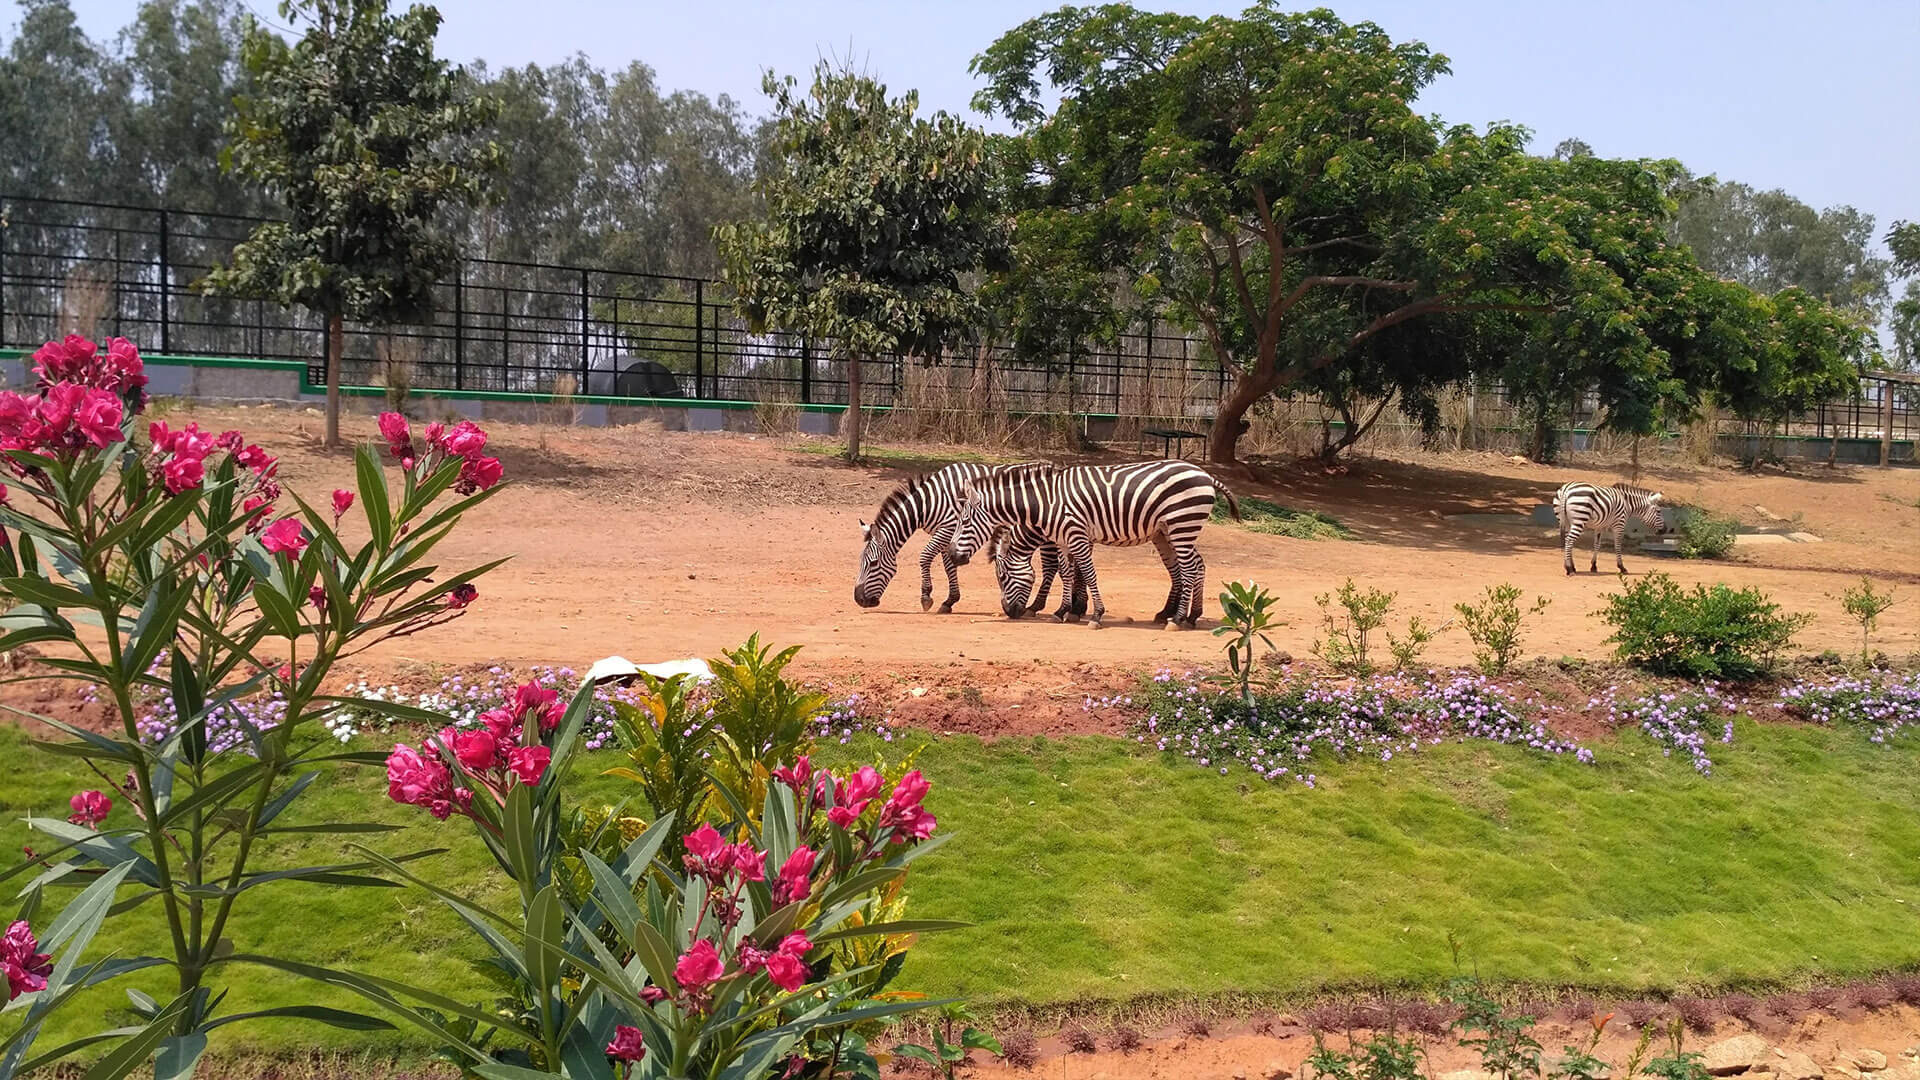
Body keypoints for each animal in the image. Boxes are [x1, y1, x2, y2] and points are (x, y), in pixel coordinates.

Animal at [852, 463, 1082, 614]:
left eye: (873, 564)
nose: (859, 599)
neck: (929, 503)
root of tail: (1056, 466)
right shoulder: (946, 534)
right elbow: (948, 565)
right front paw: (950, 600)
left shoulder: (947, 528)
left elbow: (925, 557)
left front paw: (926, 597)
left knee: (1054, 566)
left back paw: (1043, 607)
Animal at [952, 457, 1236, 626]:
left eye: (1002, 577)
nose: (1009, 613)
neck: (1045, 503)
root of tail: (1205, 473)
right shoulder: (1065, 539)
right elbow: (1069, 573)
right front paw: (1065, 611)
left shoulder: (1077, 534)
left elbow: (1088, 572)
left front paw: (1094, 614)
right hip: (1170, 531)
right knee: (1194, 566)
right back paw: (1187, 615)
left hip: (1182, 525)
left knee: (1189, 569)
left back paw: (1177, 619)